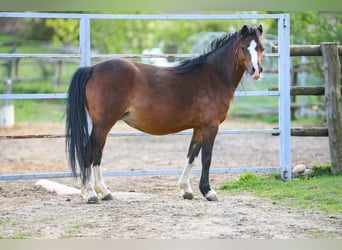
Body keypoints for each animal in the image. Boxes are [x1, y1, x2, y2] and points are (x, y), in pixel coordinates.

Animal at [66, 24, 264, 203]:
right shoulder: (211, 126)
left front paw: (186, 189)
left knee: (97, 155)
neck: (213, 77)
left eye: (261, 48)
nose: (257, 71)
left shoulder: (199, 128)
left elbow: (192, 156)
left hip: (104, 126)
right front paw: (208, 192)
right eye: (244, 47)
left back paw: (104, 192)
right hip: (103, 124)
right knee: (90, 153)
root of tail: (92, 69)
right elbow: (206, 158)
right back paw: (90, 194)